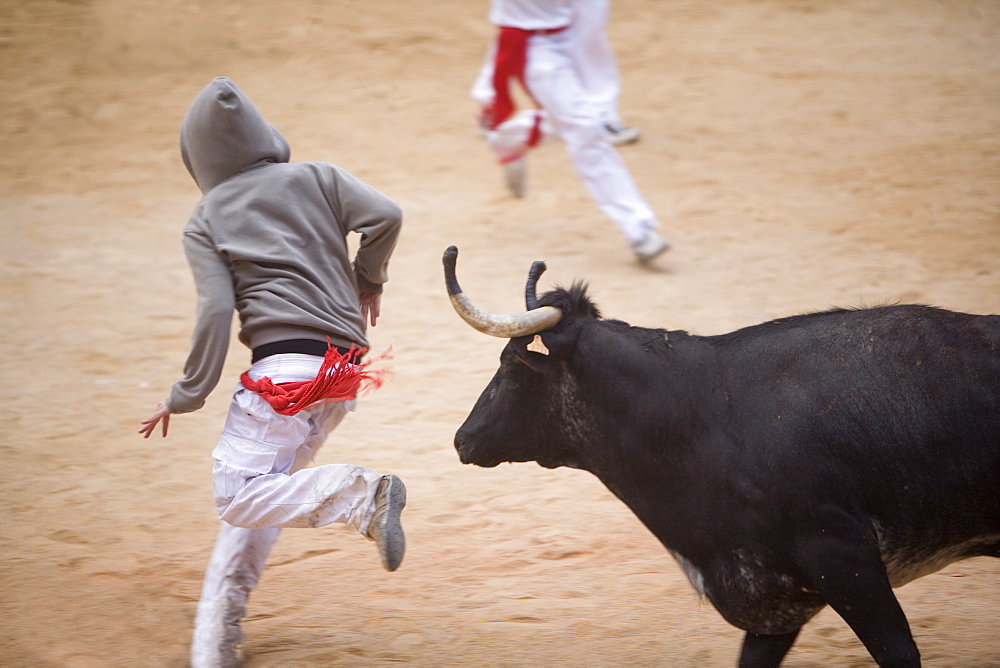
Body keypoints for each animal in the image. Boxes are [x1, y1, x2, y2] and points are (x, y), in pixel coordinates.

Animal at [444, 247, 1000, 668]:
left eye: (511, 365)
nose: (462, 439)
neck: (704, 413)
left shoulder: (845, 560)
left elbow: (899, 652)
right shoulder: (774, 601)